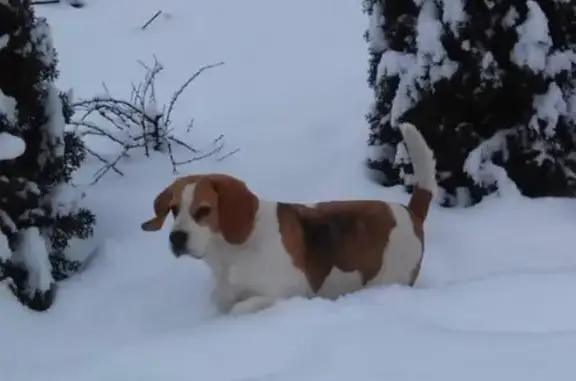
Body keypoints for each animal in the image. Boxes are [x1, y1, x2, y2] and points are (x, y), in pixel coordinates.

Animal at [141, 122, 436, 314]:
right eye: (173, 209)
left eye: (204, 210)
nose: (176, 238)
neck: (232, 253)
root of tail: (410, 211)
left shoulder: (288, 292)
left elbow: (242, 308)